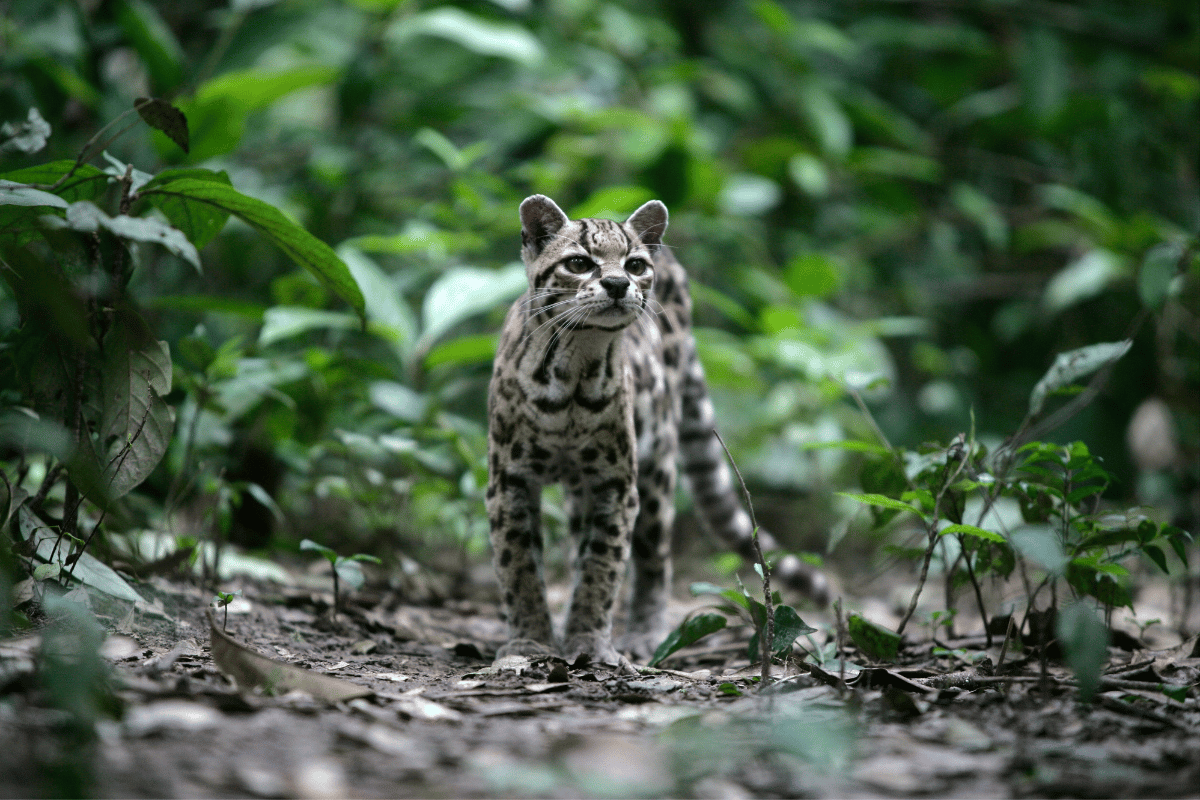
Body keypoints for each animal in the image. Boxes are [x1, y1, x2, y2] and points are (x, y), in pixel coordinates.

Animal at [484, 196, 825, 666]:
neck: (574, 367)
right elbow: (518, 564)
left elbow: (603, 565)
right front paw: (530, 641)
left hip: (657, 467)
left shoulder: (615, 483)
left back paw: (644, 634)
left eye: (634, 264)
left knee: (653, 561)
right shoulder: (510, 479)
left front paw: (588, 641)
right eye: (578, 263)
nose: (616, 283)